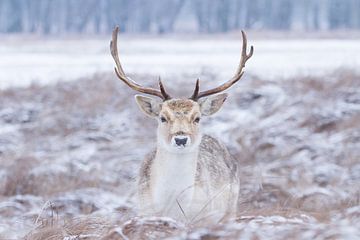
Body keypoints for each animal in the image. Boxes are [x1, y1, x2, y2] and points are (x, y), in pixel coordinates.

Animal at [109, 26, 253, 223]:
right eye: (162, 117)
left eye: (197, 118)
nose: (181, 139)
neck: (174, 206)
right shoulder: (145, 212)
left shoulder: (205, 218)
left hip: (231, 208)